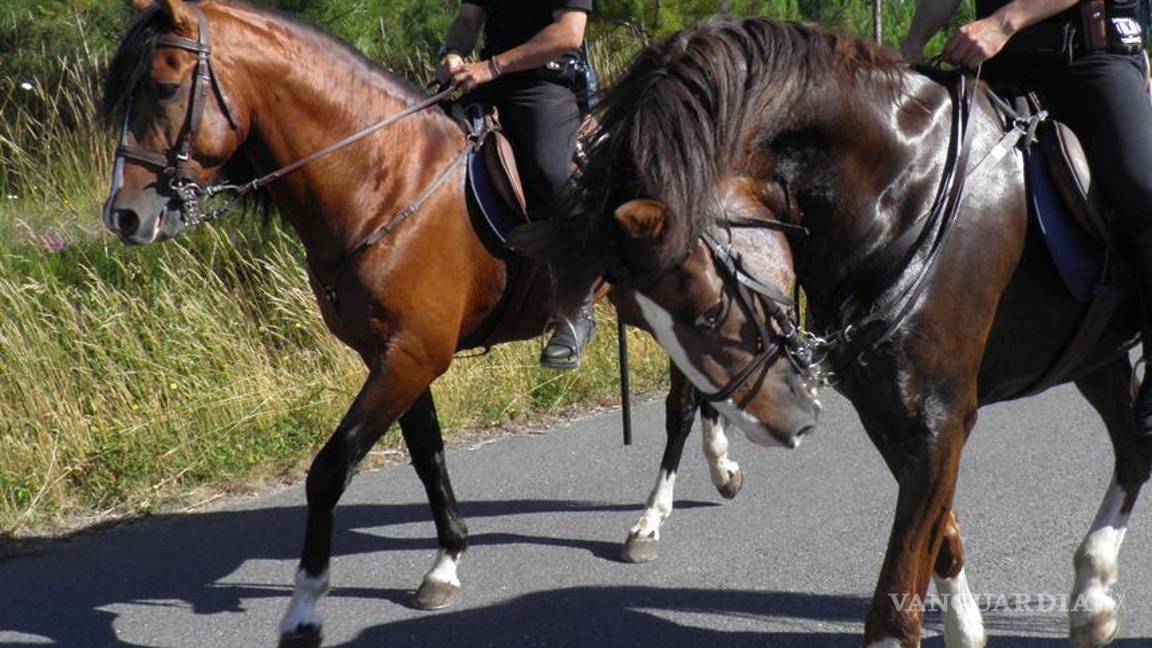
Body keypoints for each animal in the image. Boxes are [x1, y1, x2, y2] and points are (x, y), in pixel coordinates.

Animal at [96, 1, 820, 641]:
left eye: (164, 86)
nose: (125, 215)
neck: (383, 176)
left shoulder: (411, 354)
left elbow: (331, 469)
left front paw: (304, 608)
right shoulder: (394, 355)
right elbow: (427, 455)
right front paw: (445, 562)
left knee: (680, 404)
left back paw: (649, 522)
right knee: (701, 388)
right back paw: (723, 468)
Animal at [520, 12, 1152, 645]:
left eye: (706, 304)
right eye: (637, 320)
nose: (780, 426)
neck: (907, 191)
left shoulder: (939, 417)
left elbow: (896, 605)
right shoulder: (889, 413)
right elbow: (941, 540)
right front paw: (967, 628)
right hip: (1094, 356)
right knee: (1131, 447)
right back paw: (1093, 599)